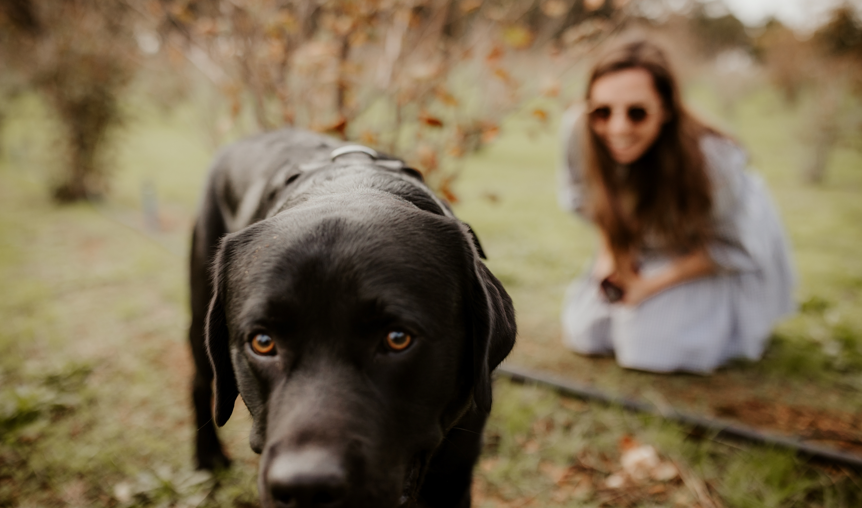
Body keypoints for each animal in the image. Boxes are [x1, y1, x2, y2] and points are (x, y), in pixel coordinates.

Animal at [188, 129, 512, 506]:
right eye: (263, 342)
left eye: (397, 339)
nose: (305, 488)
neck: (353, 183)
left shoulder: (455, 474)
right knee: (201, 384)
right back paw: (208, 458)